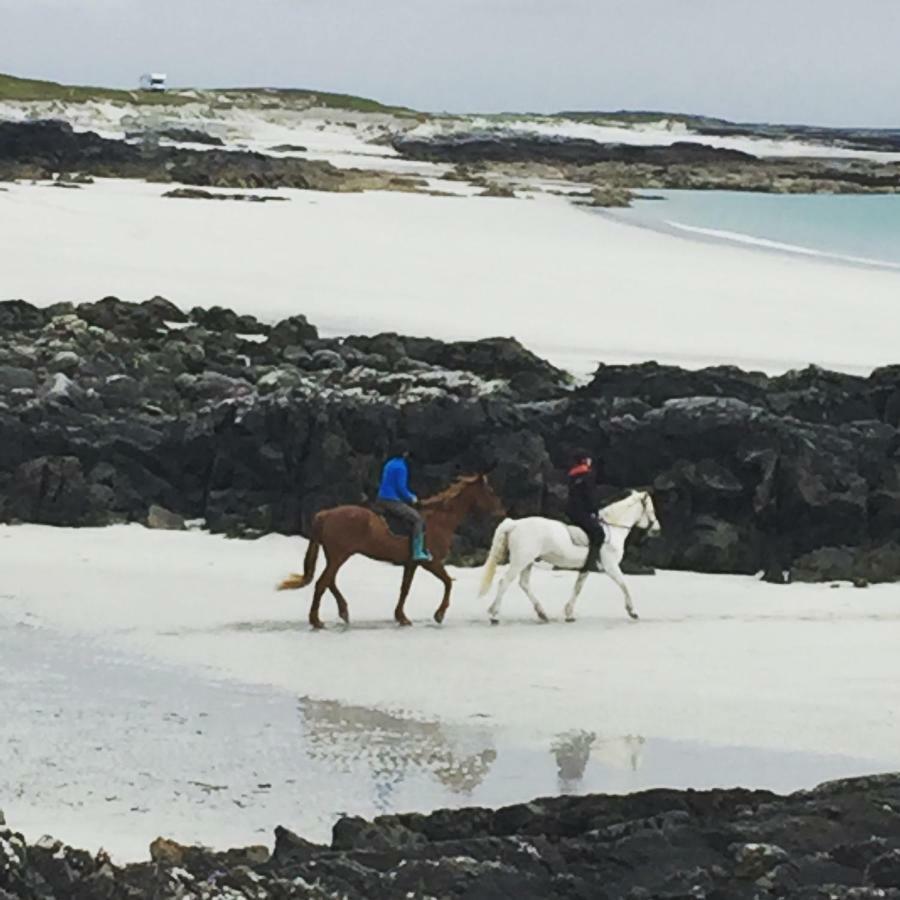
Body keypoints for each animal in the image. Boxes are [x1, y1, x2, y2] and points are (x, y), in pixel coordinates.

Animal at [280, 474, 506, 628]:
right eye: (490, 491)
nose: (501, 511)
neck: (440, 520)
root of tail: (326, 514)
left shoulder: (411, 564)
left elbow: (405, 589)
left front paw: (401, 616)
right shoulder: (430, 562)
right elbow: (448, 583)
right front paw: (439, 614)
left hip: (336, 556)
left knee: (330, 581)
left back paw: (342, 611)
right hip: (339, 556)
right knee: (322, 583)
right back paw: (316, 620)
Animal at [478, 492, 660, 624]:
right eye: (651, 509)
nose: (657, 529)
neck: (612, 529)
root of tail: (515, 524)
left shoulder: (586, 568)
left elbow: (577, 589)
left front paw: (569, 614)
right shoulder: (611, 567)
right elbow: (624, 585)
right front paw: (633, 612)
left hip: (527, 561)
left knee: (524, 584)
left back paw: (541, 614)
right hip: (520, 561)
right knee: (504, 582)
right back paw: (494, 615)